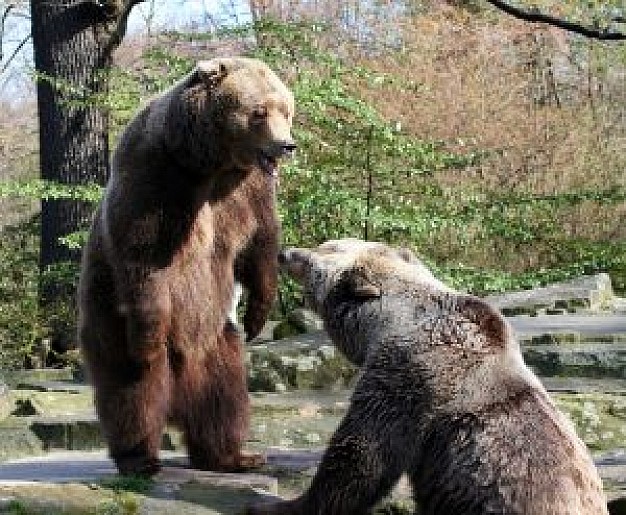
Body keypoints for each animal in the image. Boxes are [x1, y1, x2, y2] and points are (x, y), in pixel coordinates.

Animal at [77, 56, 294, 476]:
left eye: (286, 110)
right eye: (259, 111)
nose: (286, 145)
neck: (209, 162)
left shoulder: (247, 191)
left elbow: (259, 244)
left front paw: (258, 315)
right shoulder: (155, 177)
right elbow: (146, 256)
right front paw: (147, 343)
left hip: (214, 334)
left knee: (222, 391)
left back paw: (233, 455)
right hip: (107, 310)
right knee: (133, 388)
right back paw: (140, 458)